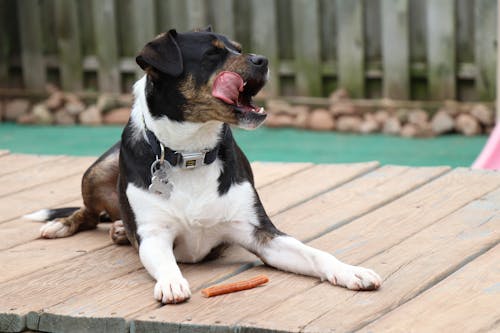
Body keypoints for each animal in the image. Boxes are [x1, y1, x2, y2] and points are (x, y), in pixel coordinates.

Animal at [25, 28, 380, 304]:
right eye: (212, 54)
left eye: (238, 48)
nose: (263, 60)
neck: (191, 153)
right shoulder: (154, 236)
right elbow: (165, 260)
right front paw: (171, 282)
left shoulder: (262, 235)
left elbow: (315, 253)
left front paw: (350, 271)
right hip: (97, 170)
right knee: (87, 211)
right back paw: (63, 225)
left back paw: (116, 229)